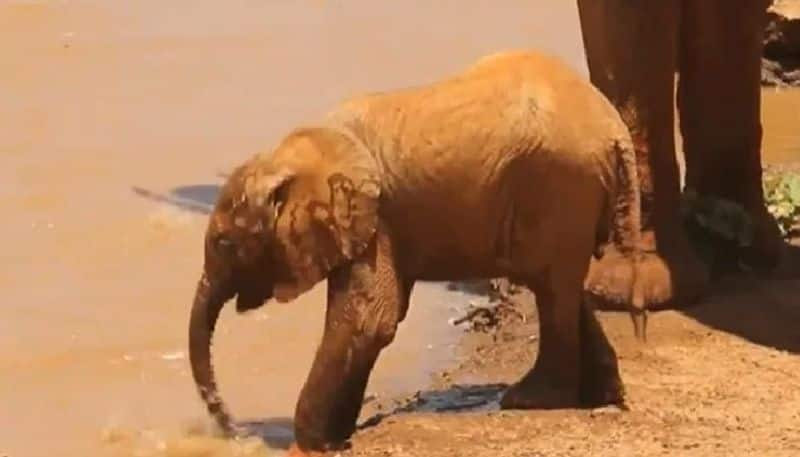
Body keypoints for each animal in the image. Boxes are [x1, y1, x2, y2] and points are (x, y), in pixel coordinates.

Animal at [191, 49, 648, 452]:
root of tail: (615, 130)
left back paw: (529, 400)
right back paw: (602, 394)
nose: (231, 427)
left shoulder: (375, 221)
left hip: (560, 184)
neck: (294, 154)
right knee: (559, 284)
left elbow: (368, 319)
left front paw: (311, 444)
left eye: (224, 244)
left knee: (550, 287)